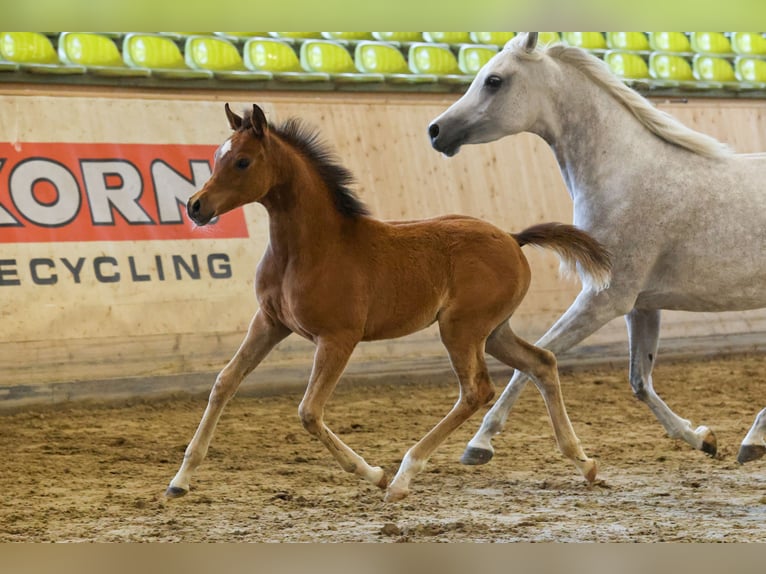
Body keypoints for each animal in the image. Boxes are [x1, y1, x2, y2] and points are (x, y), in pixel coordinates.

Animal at [166, 102, 612, 502]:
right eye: (215, 158)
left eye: (242, 161)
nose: (196, 206)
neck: (312, 249)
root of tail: (512, 237)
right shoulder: (268, 322)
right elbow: (225, 382)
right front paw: (180, 480)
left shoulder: (338, 338)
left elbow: (309, 411)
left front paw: (374, 474)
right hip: (493, 330)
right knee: (541, 362)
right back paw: (584, 462)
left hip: (461, 328)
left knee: (476, 390)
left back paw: (402, 477)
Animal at [428, 32, 766, 467]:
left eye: (494, 81)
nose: (436, 131)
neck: (625, 176)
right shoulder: (641, 305)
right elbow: (640, 381)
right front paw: (700, 438)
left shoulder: (604, 299)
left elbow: (536, 359)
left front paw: (480, 443)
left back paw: (754, 440)